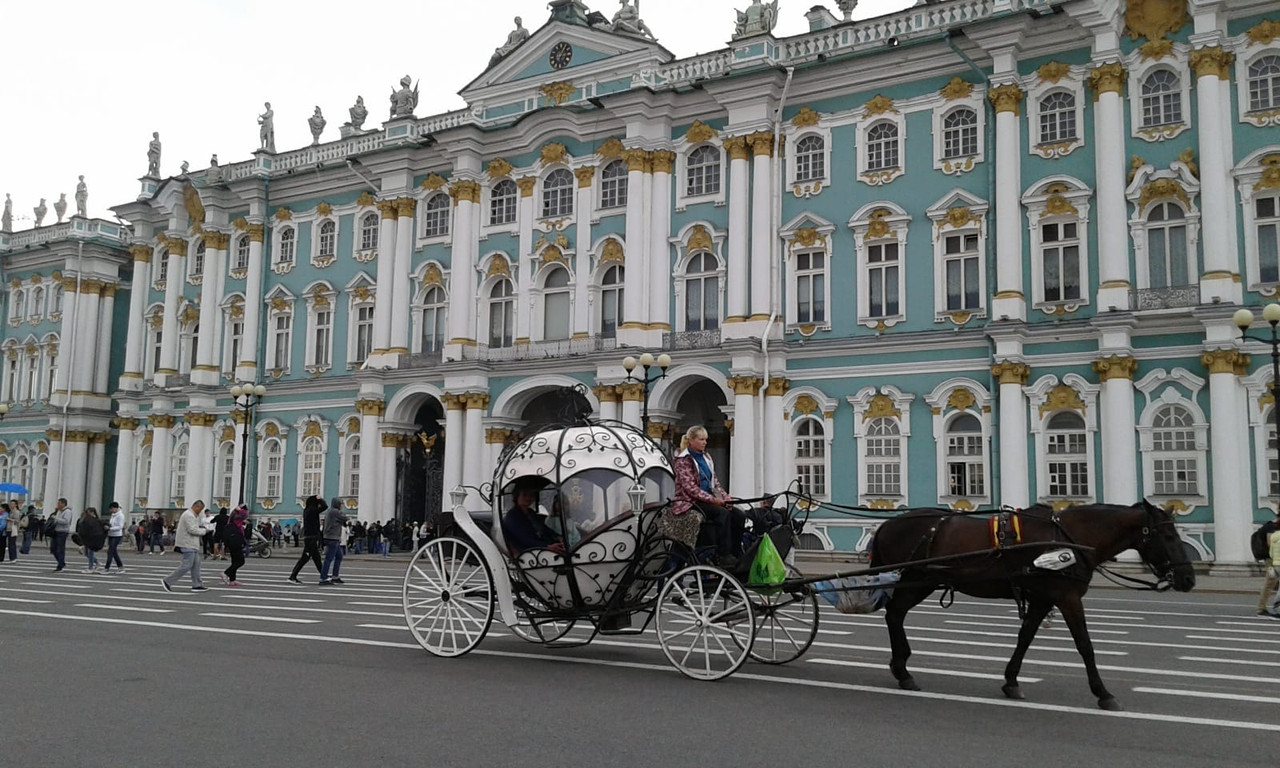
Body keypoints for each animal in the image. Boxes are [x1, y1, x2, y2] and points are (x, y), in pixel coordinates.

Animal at [875, 501, 1192, 711]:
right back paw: (902, 670)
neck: (1067, 539)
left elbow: (1025, 637)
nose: (1188, 579)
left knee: (895, 614)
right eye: (1167, 536)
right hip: (916, 580)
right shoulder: (1067, 598)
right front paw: (1103, 693)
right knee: (894, 614)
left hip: (920, 582)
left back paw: (902, 669)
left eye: (1176, 535)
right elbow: (1085, 645)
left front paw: (1011, 681)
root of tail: (887, 524)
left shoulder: (1042, 599)